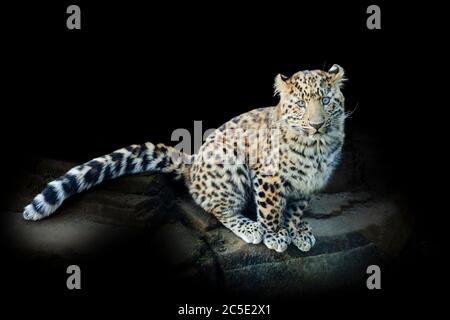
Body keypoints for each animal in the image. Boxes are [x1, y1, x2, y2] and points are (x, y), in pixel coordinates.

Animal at [22, 64, 348, 252]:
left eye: (326, 101)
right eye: (301, 104)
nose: (317, 123)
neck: (318, 146)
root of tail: (193, 163)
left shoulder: (309, 183)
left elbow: (295, 210)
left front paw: (297, 230)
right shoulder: (267, 175)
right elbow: (270, 209)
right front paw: (275, 235)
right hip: (228, 164)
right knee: (218, 209)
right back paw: (250, 227)